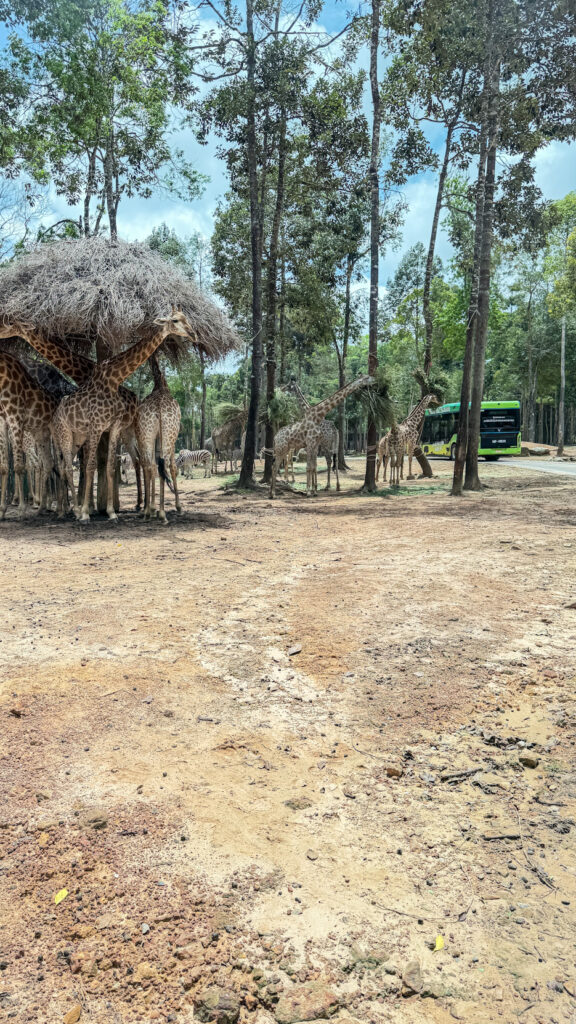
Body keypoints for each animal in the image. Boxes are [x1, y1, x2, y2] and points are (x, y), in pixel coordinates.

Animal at [135, 353, 182, 522]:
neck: (160, 383)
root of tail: (159, 408)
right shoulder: (172, 441)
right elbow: (173, 468)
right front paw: (179, 507)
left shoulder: (155, 439)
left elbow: (154, 466)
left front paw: (152, 507)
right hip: (167, 435)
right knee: (164, 464)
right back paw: (161, 513)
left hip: (147, 435)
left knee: (151, 465)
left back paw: (150, 512)